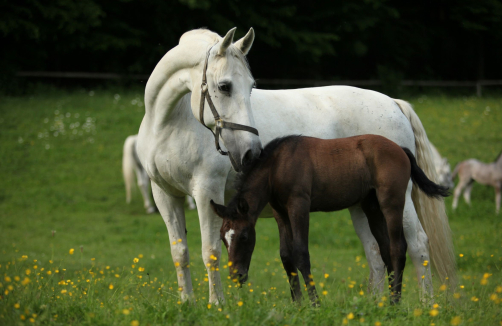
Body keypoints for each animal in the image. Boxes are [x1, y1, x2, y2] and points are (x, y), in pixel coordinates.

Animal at [210, 134, 450, 304]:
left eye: (244, 236)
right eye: (223, 238)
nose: (237, 276)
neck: (277, 165)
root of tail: (401, 149)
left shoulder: (299, 205)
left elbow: (301, 253)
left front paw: (315, 304)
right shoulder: (281, 213)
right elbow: (286, 255)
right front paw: (297, 305)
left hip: (391, 202)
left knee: (398, 248)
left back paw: (395, 303)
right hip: (371, 206)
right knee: (385, 249)